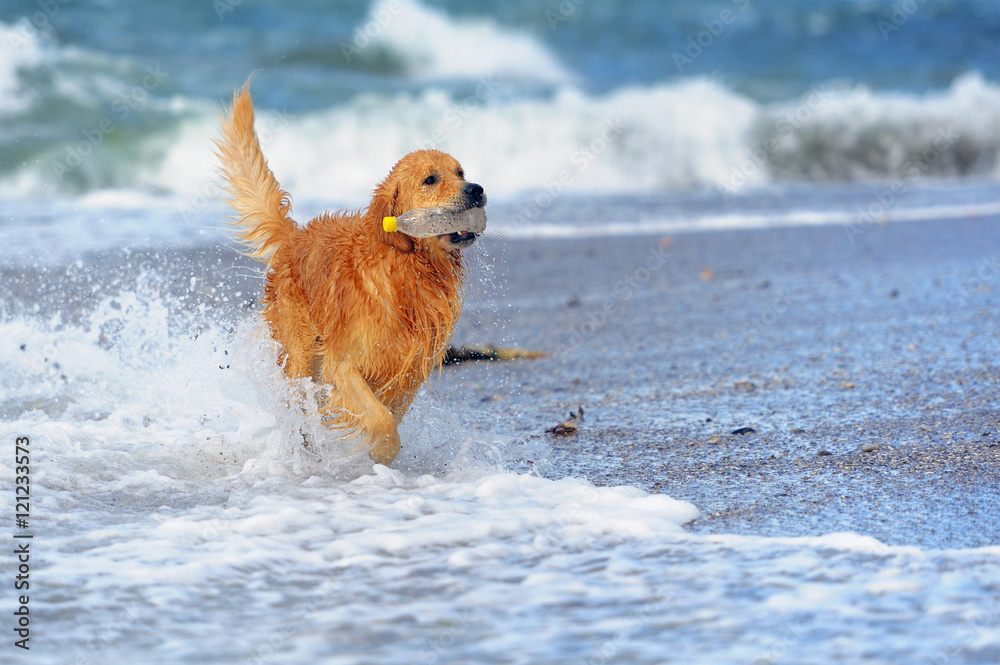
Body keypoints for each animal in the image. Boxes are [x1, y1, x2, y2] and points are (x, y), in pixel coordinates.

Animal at [217, 80, 486, 464]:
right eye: (430, 180)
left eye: (460, 172)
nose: (476, 189)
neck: (405, 269)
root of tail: (296, 237)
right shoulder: (343, 365)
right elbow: (381, 421)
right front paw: (378, 455)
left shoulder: (407, 370)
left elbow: (390, 413)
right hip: (298, 353)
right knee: (297, 406)